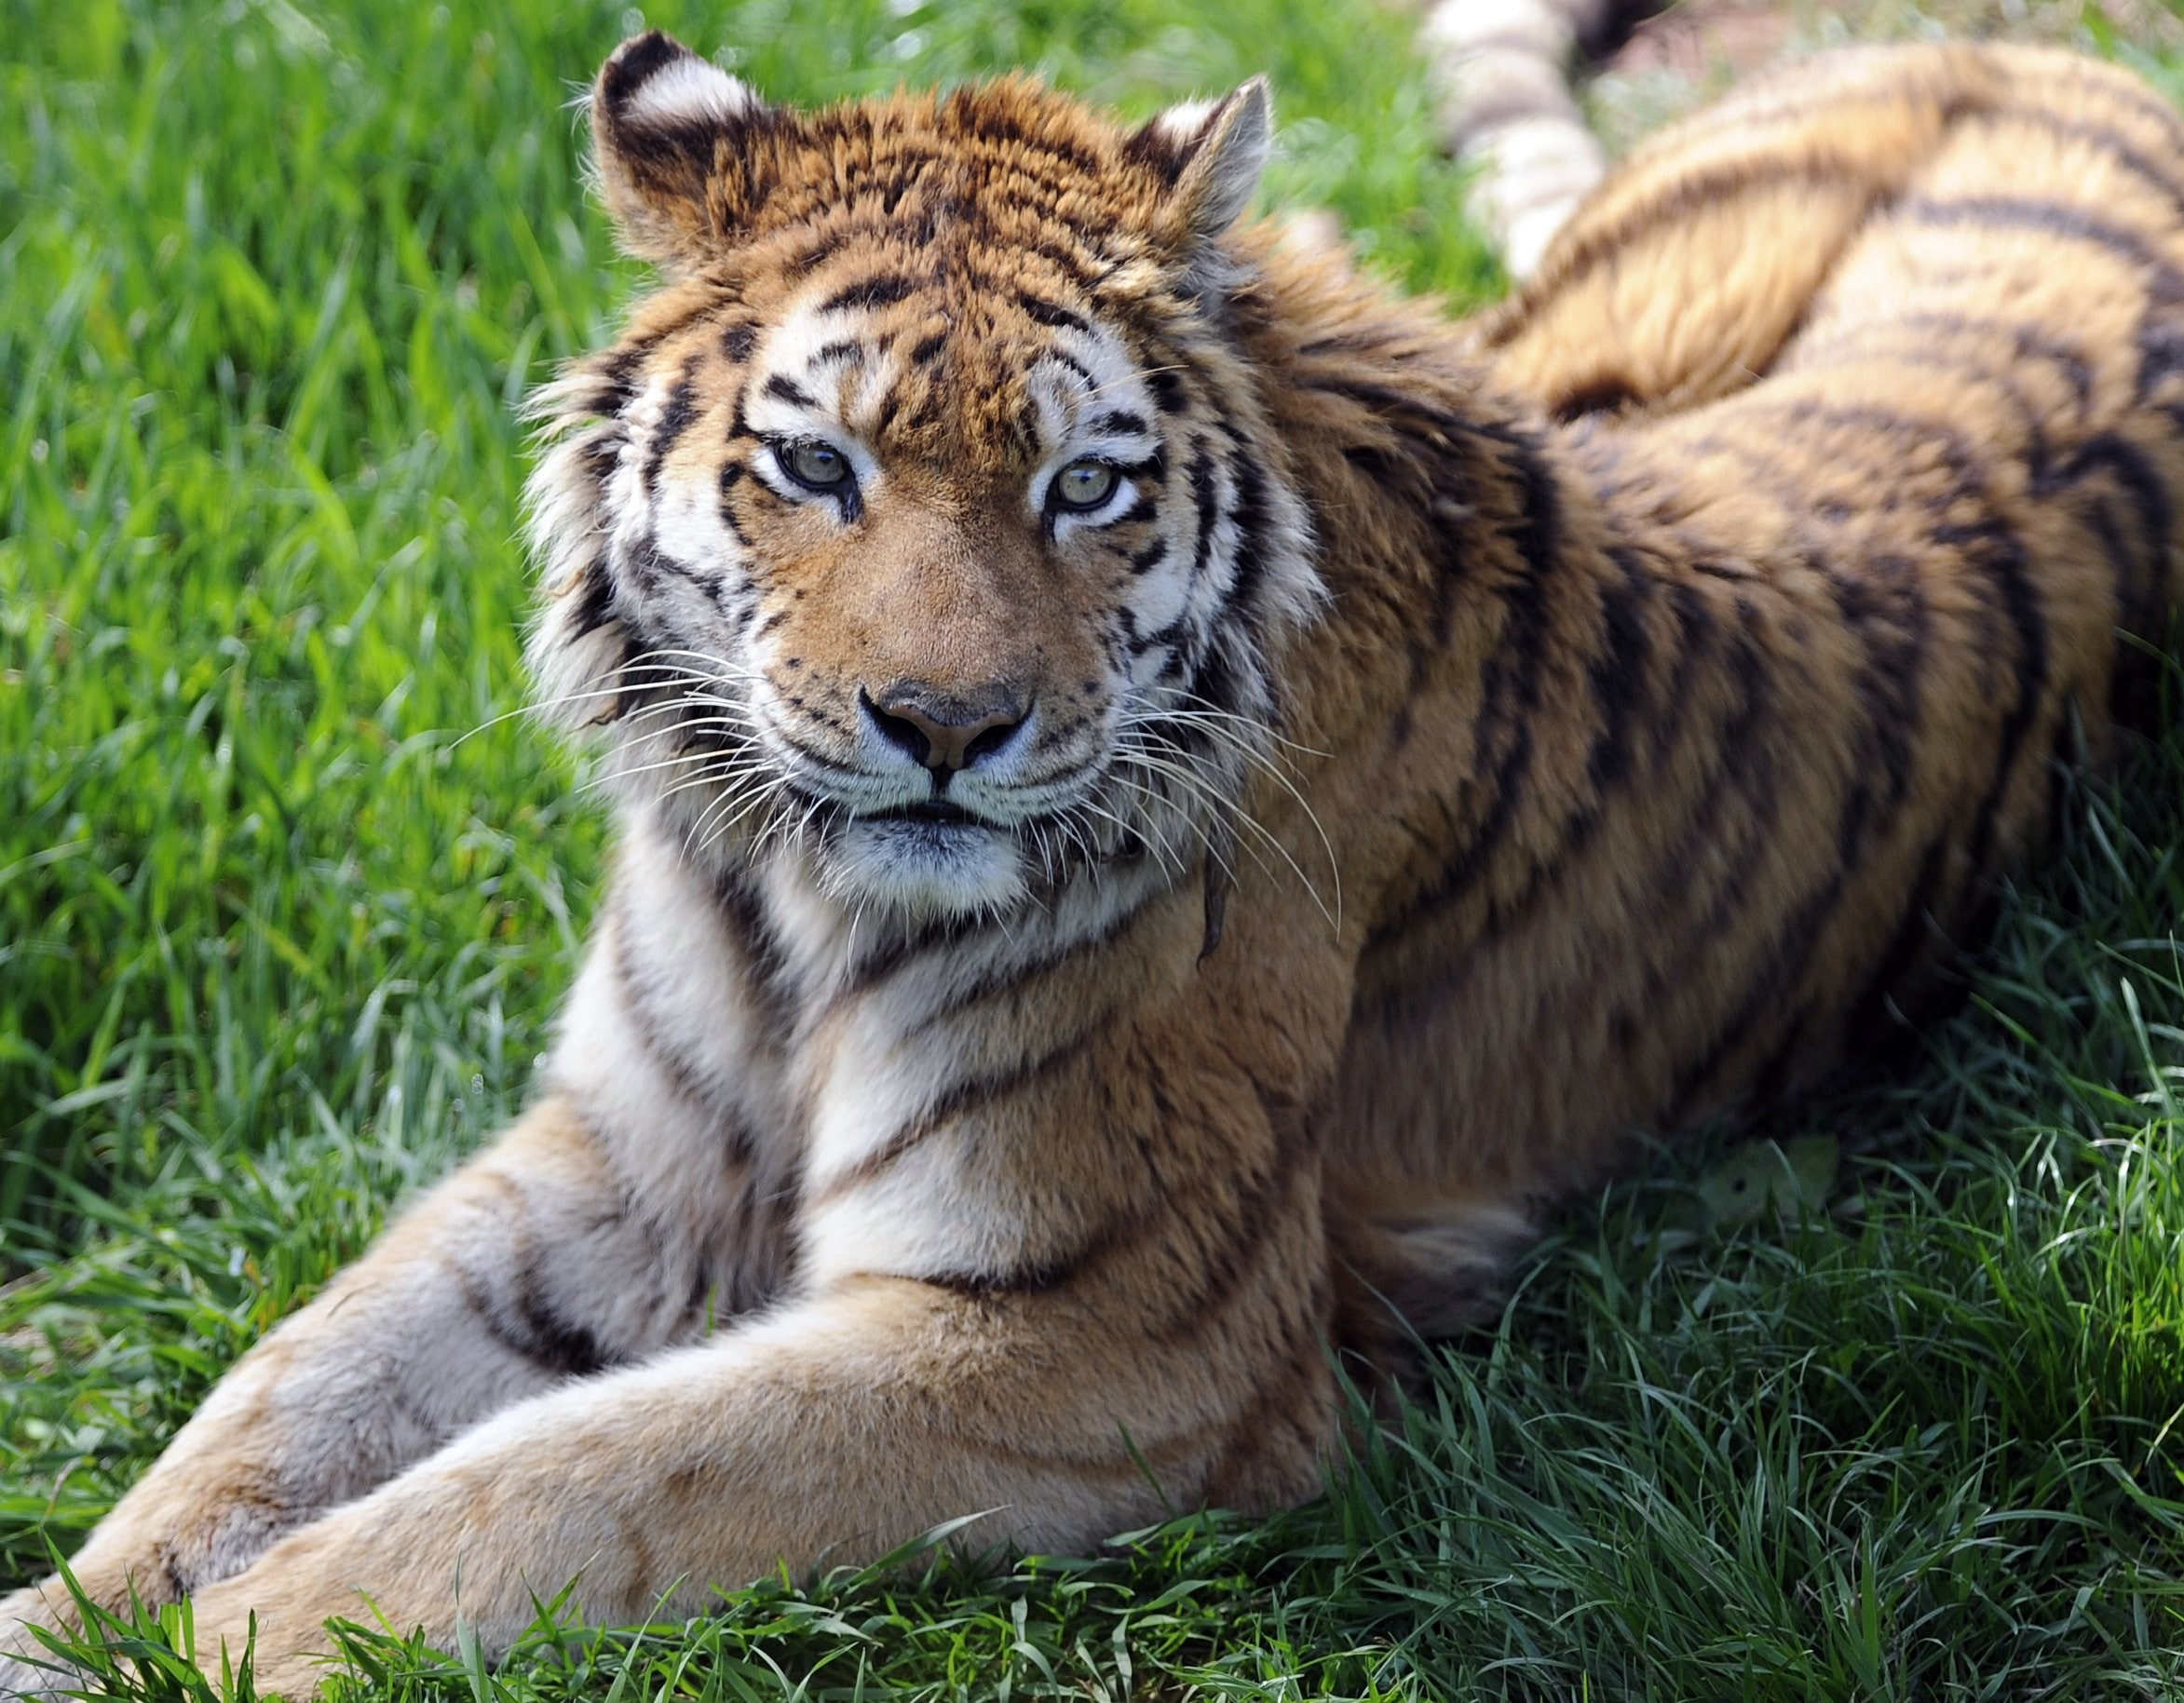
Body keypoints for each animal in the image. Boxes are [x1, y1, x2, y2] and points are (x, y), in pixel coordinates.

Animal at [9, 21, 2184, 1699]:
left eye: (1085, 486)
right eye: (816, 466)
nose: (946, 726)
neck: (791, 898)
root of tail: (2026, 49)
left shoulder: (1088, 1328)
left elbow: (571, 1478)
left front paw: (228, 1646)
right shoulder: (618, 1158)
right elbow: (278, 1393)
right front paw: (70, 1617)